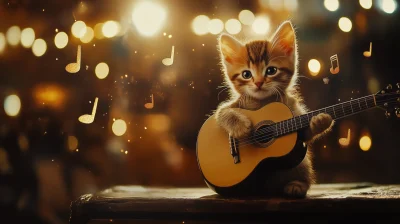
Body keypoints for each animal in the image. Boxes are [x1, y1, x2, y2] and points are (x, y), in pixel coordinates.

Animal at [214, 20, 332, 198]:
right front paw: (239, 127)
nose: (258, 82)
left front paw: (319, 121)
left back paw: (297, 185)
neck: (264, 102)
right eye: (246, 74)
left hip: (302, 164)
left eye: (271, 70)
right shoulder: (232, 105)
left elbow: (305, 134)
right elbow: (222, 112)